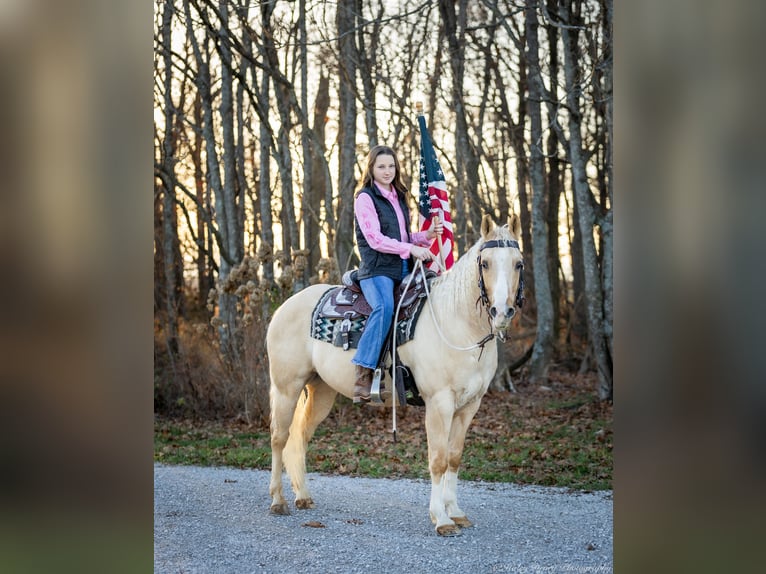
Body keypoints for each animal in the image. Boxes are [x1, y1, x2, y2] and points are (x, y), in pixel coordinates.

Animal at [268, 214, 524, 536]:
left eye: (518, 263)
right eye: (486, 263)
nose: (502, 311)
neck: (456, 322)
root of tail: (285, 306)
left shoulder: (469, 406)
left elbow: (454, 458)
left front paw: (456, 512)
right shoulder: (439, 404)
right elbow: (438, 460)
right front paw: (441, 519)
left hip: (321, 391)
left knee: (300, 436)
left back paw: (303, 496)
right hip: (286, 387)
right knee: (279, 437)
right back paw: (278, 501)